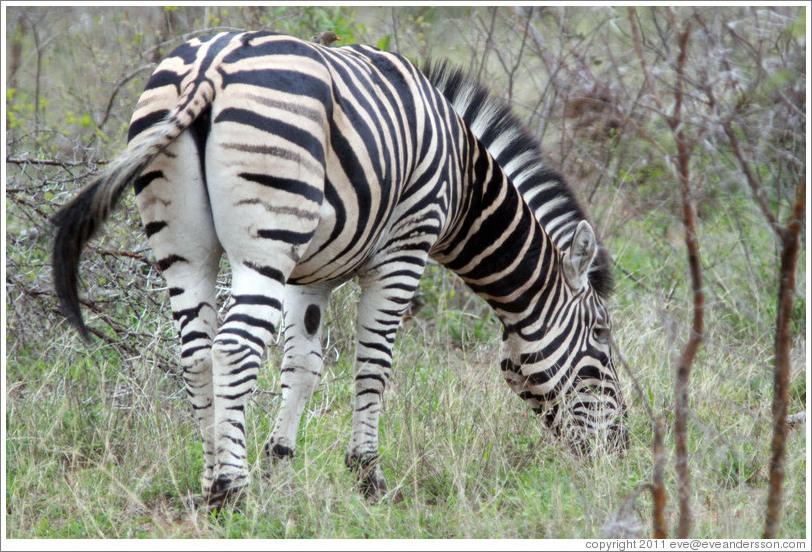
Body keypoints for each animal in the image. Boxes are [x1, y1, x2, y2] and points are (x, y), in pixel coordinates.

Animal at [52, 31, 626, 506]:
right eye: (601, 334)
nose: (621, 449)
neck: (465, 180)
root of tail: (209, 63)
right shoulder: (404, 247)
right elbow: (374, 362)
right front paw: (368, 476)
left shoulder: (312, 274)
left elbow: (303, 366)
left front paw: (279, 463)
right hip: (266, 239)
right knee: (234, 348)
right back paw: (231, 493)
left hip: (183, 246)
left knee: (195, 354)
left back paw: (210, 479)